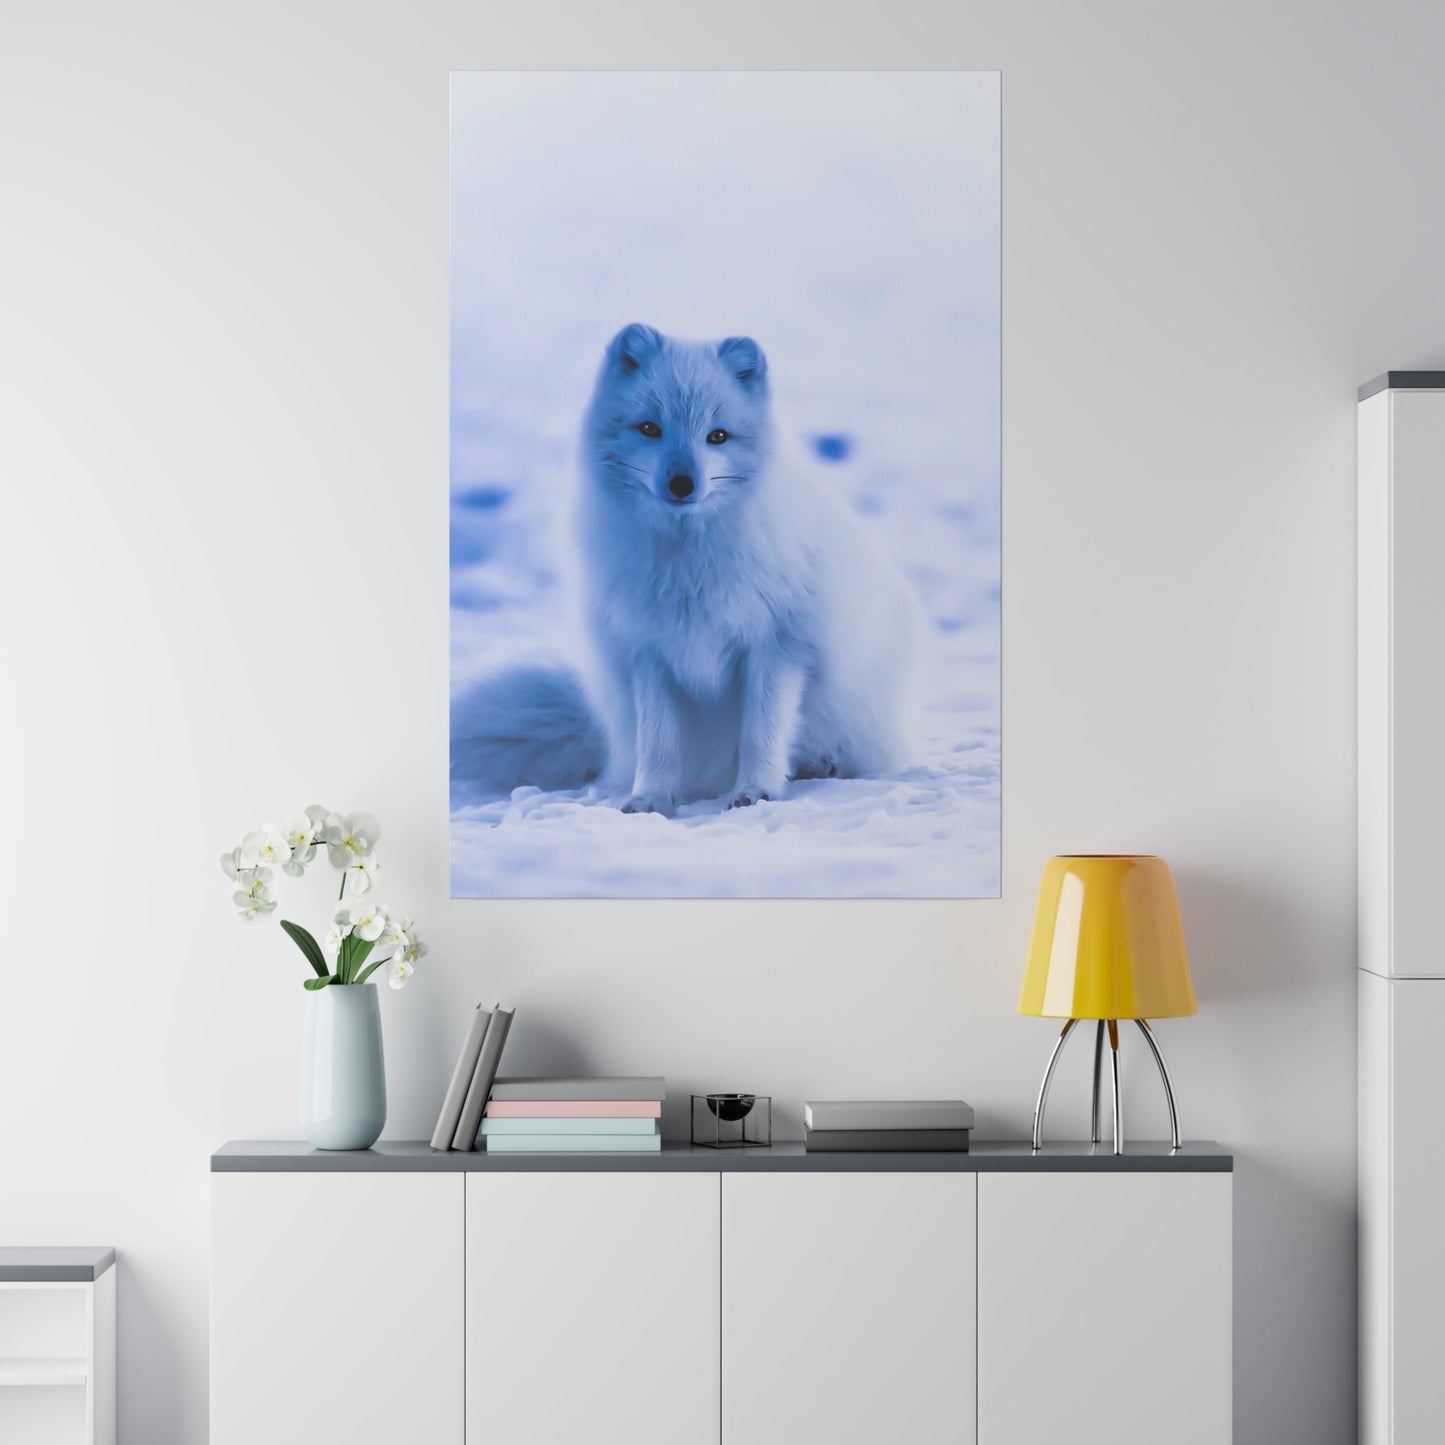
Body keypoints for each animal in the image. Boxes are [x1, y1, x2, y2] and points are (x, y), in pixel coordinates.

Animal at [447, 325, 924, 814]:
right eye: (650, 428)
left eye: (718, 436)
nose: (682, 483)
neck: (687, 562)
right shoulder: (649, 654)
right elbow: (658, 742)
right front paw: (650, 799)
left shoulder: (777, 648)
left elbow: (762, 732)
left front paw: (756, 791)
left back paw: (822, 763)